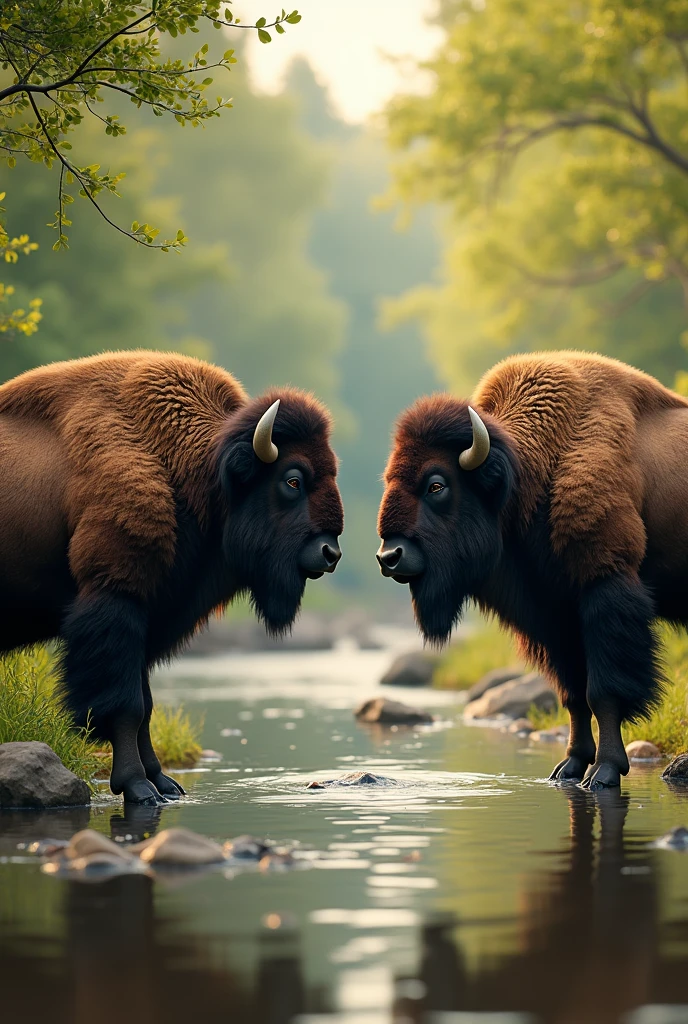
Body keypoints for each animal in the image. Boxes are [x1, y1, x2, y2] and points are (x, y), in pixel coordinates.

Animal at [0, 348, 344, 802]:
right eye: (293, 479)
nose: (330, 552)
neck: (188, 467)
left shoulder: (155, 616)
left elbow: (145, 705)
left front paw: (164, 782)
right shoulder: (117, 602)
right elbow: (126, 705)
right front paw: (137, 786)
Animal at [376, 352, 688, 790]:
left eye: (436, 484)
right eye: (390, 478)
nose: (389, 556)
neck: (533, 472)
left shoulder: (604, 590)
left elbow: (602, 692)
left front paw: (604, 772)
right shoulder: (553, 615)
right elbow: (573, 694)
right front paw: (569, 767)